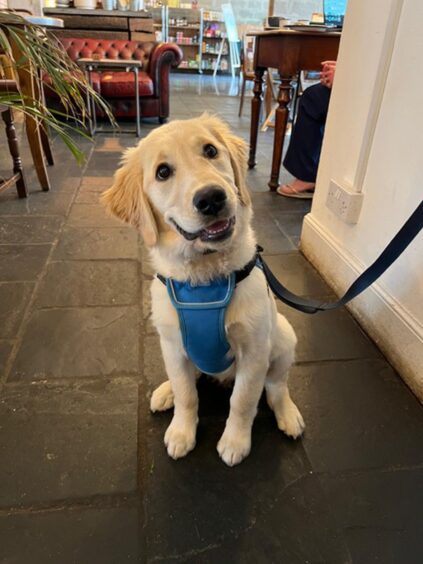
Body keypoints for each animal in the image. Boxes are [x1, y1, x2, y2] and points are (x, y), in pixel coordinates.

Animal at [104, 114, 306, 468]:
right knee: (189, 379)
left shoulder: (254, 352)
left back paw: (288, 414)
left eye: (211, 151)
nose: (211, 198)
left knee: (276, 385)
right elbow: (188, 395)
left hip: (283, 336)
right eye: (163, 172)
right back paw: (166, 391)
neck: (205, 277)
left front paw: (235, 441)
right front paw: (182, 432)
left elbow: (243, 400)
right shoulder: (172, 344)